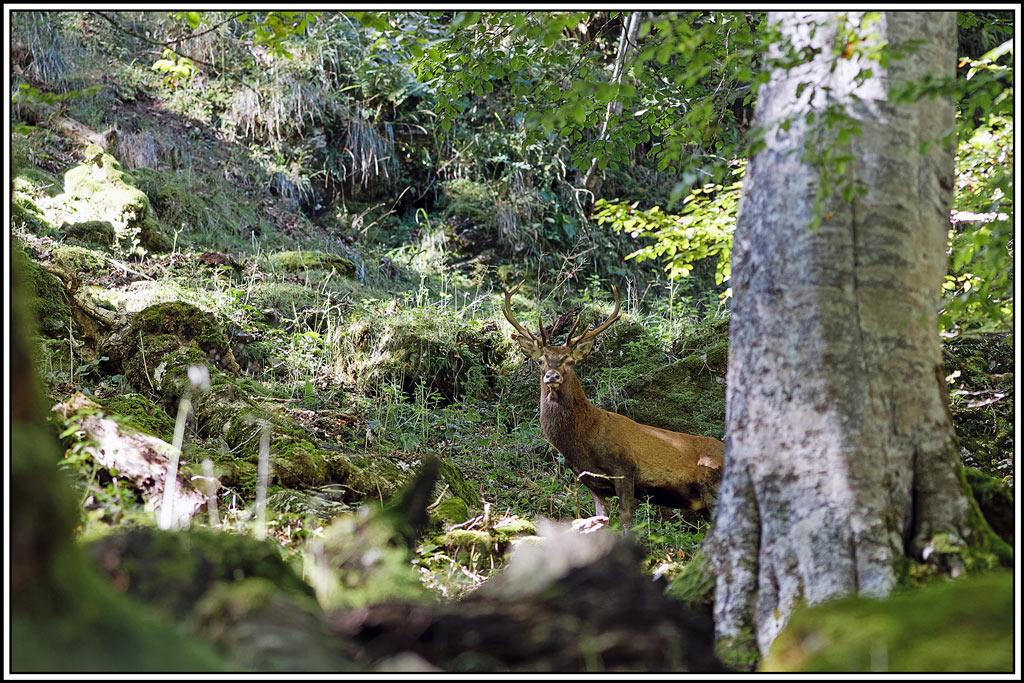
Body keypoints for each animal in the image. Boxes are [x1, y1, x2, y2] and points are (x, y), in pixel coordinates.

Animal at [502, 281, 724, 529]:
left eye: (570, 361)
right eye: (540, 361)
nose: (552, 376)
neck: (584, 440)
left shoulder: (625, 470)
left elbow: (627, 521)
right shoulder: (591, 482)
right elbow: (600, 520)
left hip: (715, 488)